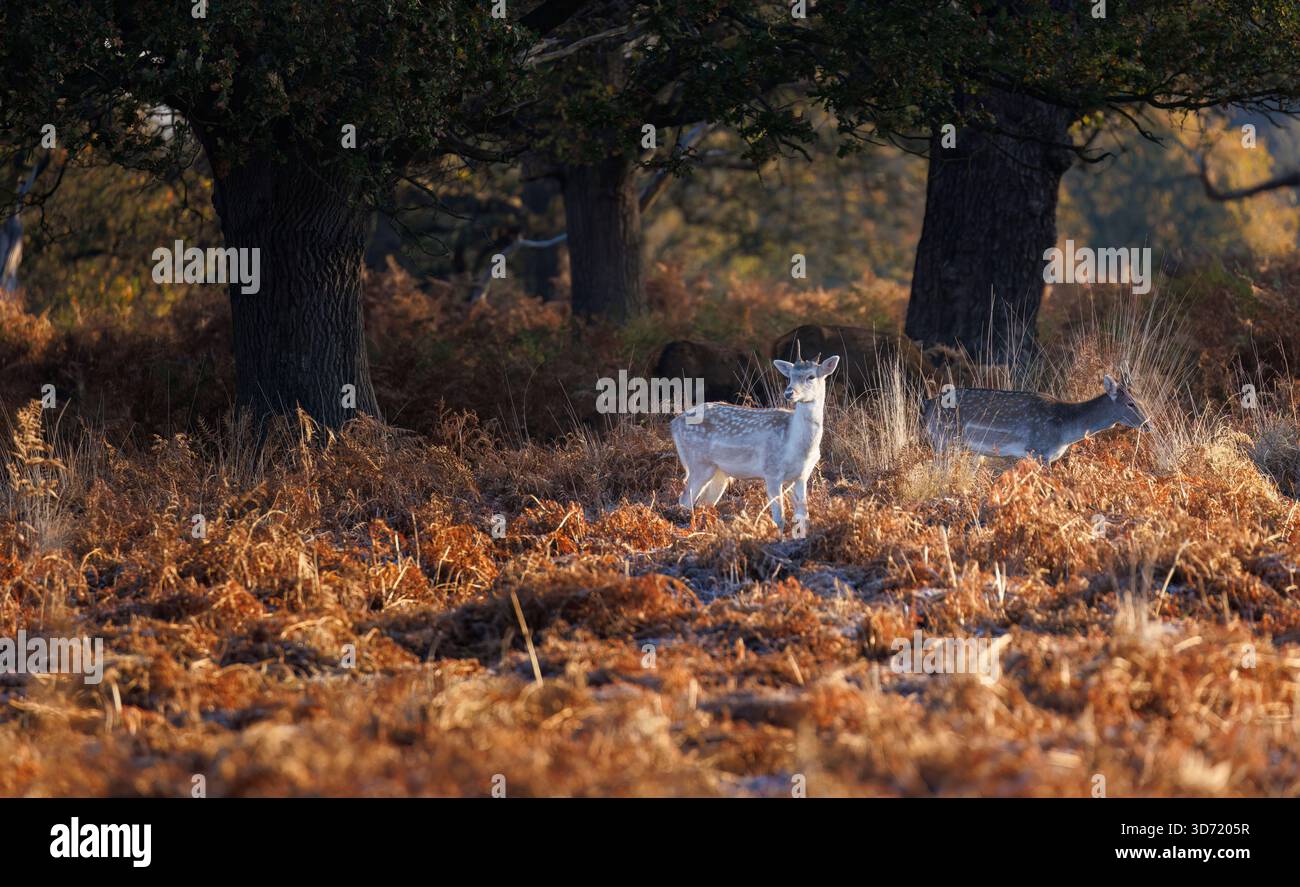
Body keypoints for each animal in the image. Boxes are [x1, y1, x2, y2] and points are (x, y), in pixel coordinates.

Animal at [670, 344, 839, 536]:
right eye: (790, 376)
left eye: (811, 376)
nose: (789, 392)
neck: (795, 443)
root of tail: (674, 423)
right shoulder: (771, 471)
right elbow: (779, 518)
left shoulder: (802, 475)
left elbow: (804, 516)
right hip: (698, 463)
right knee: (685, 500)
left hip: (719, 471)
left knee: (704, 503)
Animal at [922, 373, 1148, 464]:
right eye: (1130, 403)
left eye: (1138, 398)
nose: (1148, 424)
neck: (1064, 432)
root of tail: (928, 405)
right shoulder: (1039, 451)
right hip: (944, 439)